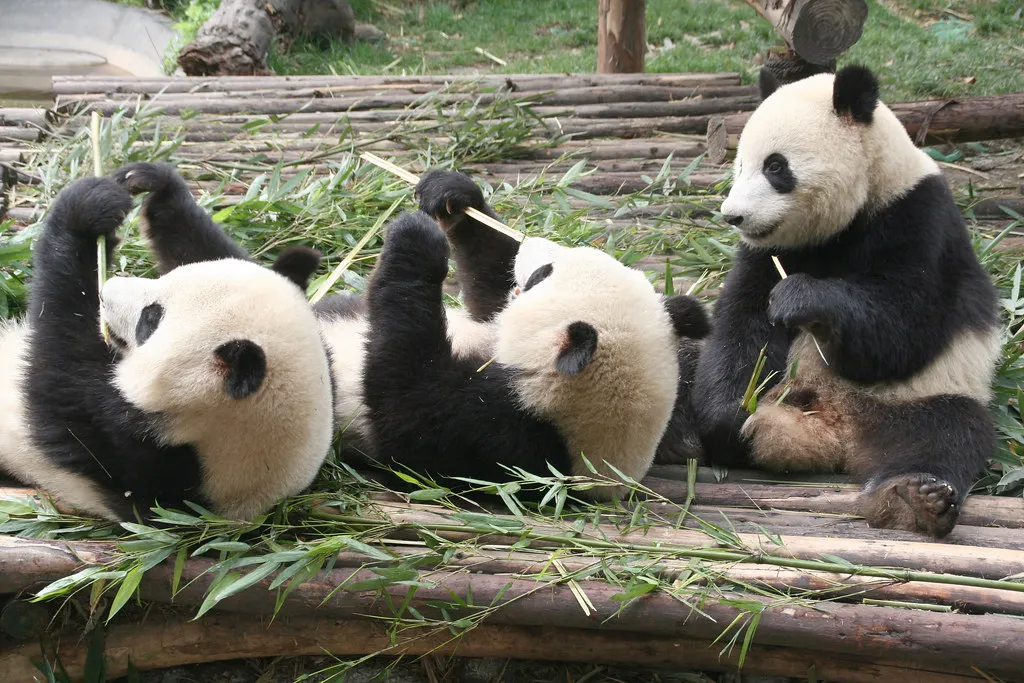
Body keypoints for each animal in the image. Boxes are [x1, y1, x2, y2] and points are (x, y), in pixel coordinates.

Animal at [0, 171, 333, 518]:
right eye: (164, 280)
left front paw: (83, 211)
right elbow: (200, 246)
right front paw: (148, 183)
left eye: (150, 319)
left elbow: (58, 371)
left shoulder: (138, 454)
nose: (106, 290)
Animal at [688, 65, 999, 540]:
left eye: (775, 166)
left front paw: (801, 297)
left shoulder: (917, 219)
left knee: (947, 434)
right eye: (739, 164)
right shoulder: (767, 252)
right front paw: (730, 420)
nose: (733, 216)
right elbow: (742, 328)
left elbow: (902, 328)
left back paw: (914, 500)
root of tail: (835, 430)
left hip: (923, 395)